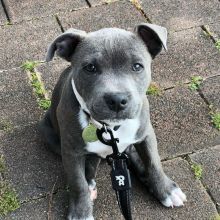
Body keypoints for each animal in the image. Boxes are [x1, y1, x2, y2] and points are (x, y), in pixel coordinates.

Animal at [39, 23, 186, 219]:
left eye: (137, 66)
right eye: (90, 67)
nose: (117, 99)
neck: (108, 126)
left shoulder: (146, 133)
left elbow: (154, 163)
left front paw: (166, 189)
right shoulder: (71, 151)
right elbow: (77, 183)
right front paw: (81, 212)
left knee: (130, 152)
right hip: (50, 135)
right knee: (89, 164)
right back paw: (91, 182)